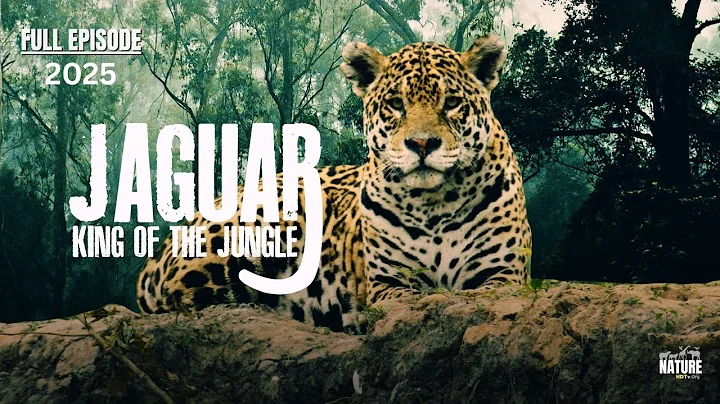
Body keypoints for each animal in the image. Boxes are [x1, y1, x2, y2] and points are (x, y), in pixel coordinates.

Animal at [136, 34, 532, 333]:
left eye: (451, 103)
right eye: (395, 104)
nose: (421, 144)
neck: (432, 203)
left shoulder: (505, 275)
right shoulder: (387, 284)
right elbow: (412, 299)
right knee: (190, 298)